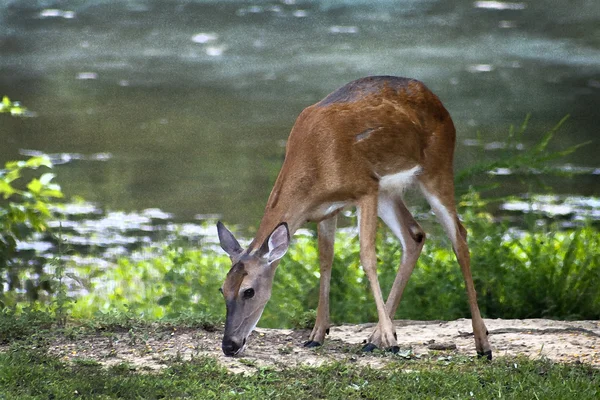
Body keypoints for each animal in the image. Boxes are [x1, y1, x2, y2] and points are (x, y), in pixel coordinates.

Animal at [216, 75, 492, 360]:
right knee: (415, 235)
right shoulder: (326, 211)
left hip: (436, 169)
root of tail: (437, 102)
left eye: (249, 291)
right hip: (388, 192)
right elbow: (325, 261)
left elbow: (368, 258)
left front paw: (392, 340)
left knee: (459, 237)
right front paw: (317, 335)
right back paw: (374, 338)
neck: (316, 162)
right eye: (222, 289)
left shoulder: (364, 190)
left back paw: (482, 345)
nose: (229, 345)